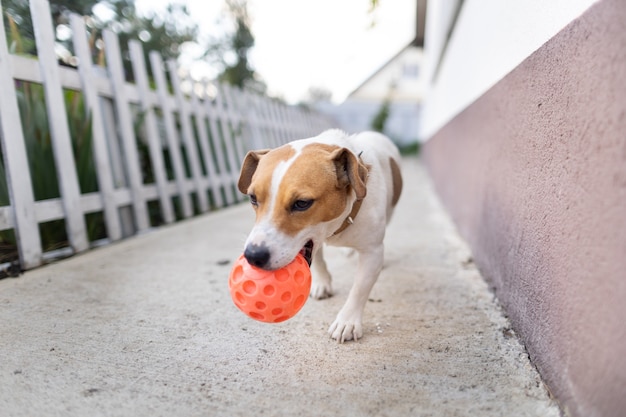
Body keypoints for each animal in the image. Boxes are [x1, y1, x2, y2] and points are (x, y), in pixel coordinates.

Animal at [236, 130, 402, 342]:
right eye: (253, 198)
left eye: (302, 203)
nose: (253, 256)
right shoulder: (314, 239)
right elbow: (319, 261)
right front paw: (322, 283)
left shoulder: (372, 252)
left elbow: (359, 288)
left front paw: (347, 321)